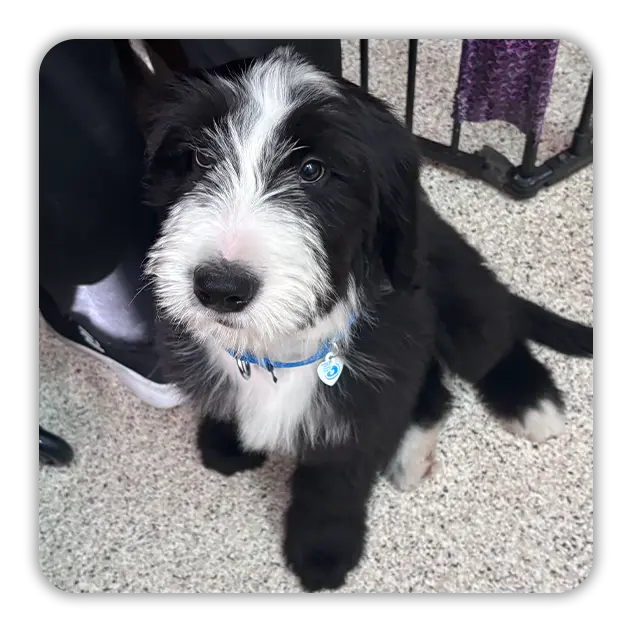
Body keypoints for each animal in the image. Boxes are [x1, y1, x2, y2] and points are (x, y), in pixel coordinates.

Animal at [143, 47, 592, 592]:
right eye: (201, 158)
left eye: (312, 170)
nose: (219, 288)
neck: (277, 348)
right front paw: (226, 439)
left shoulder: (362, 407)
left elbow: (334, 484)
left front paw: (323, 550)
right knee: (435, 388)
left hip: (453, 293)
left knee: (494, 341)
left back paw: (529, 400)